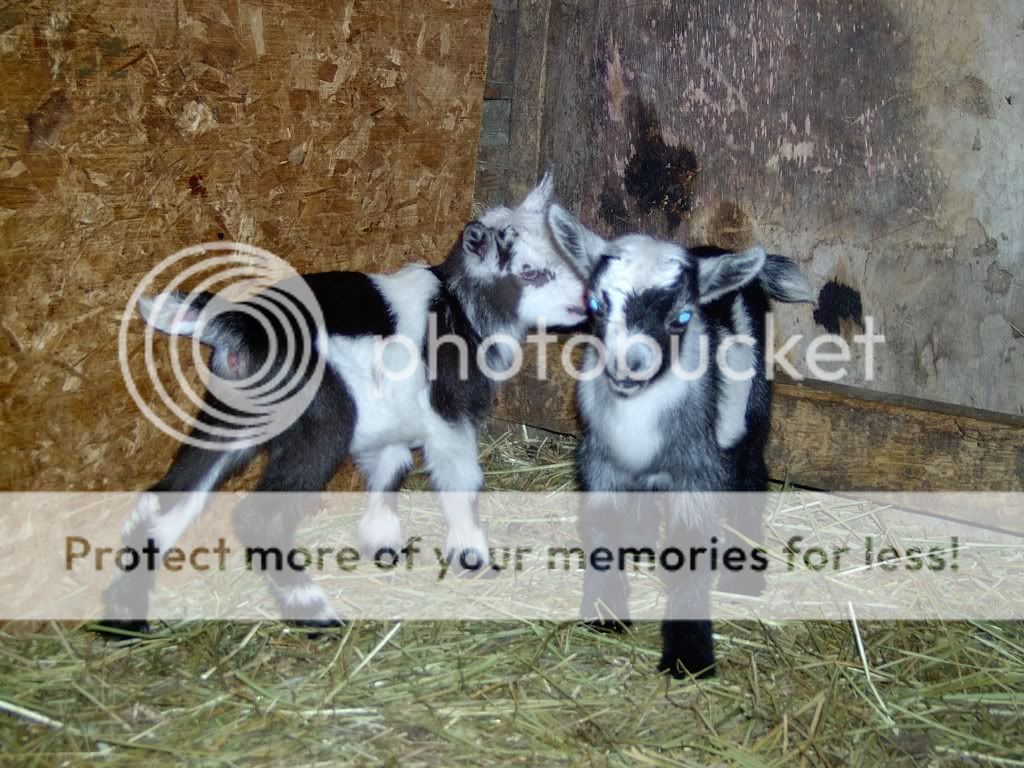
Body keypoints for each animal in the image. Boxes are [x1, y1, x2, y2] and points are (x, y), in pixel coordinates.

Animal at [101, 176, 585, 633]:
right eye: (530, 272)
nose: (586, 300)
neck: (460, 310)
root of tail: (240, 323)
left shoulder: (392, 419)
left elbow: (390, 468)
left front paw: (382, 542)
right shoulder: (447, 416)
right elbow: (461, 480)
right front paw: (474, 558)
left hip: (231, 417)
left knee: (168, 497)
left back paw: (125, 619)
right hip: (323, 422)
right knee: (259, 518)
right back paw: (313, 611)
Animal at [547, 204, 813, 678]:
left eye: (683, 318)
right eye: (595, 304)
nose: (627, 368)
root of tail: (718, 251)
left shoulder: (699, 468)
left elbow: (691, 546)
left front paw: (689, 655)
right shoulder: (601, 462)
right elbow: (601, 529)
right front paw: (604, 612)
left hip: (751, 411)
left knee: (751, 473)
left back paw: (744, 578)